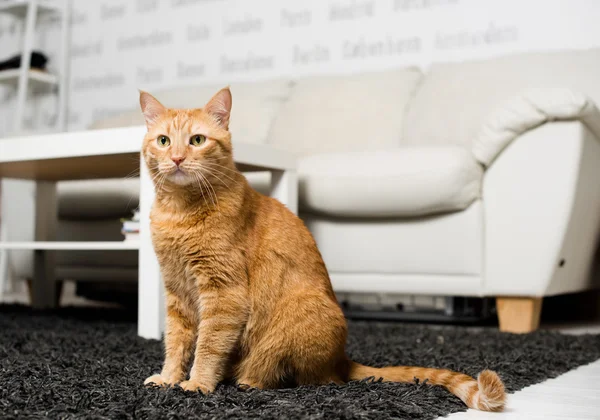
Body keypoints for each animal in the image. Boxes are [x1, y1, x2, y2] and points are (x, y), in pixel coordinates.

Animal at [138, 87, 504, 412]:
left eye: (197, 140)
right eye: (164, 141)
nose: (177, 158)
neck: (179, 212)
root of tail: (342, 358)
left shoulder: (223, 293)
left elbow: (208, 346)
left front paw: (198, 384)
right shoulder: (177, 292)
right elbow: (176, 342)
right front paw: (169, 379)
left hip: (290, 328)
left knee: (303, 378)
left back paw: (248, 382)